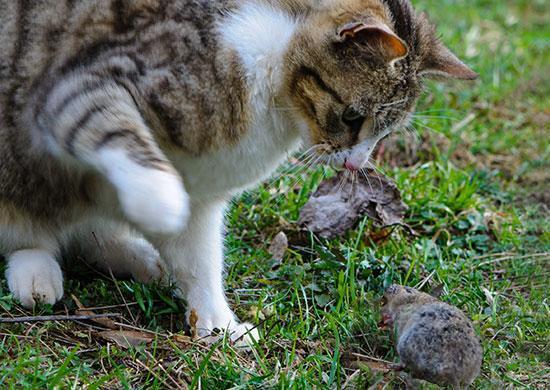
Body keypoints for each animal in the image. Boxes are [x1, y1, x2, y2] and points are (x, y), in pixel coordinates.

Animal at [0, 0, 476, 342]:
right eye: (353, 117)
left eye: (385, 132)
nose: (356, 163)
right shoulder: (83, 85)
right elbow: (123, 140)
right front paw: (163, 204)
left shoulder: (204, 190)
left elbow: (200, 259)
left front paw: (218, 326)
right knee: (31, 235)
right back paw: (37, 274)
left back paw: (138, 257)